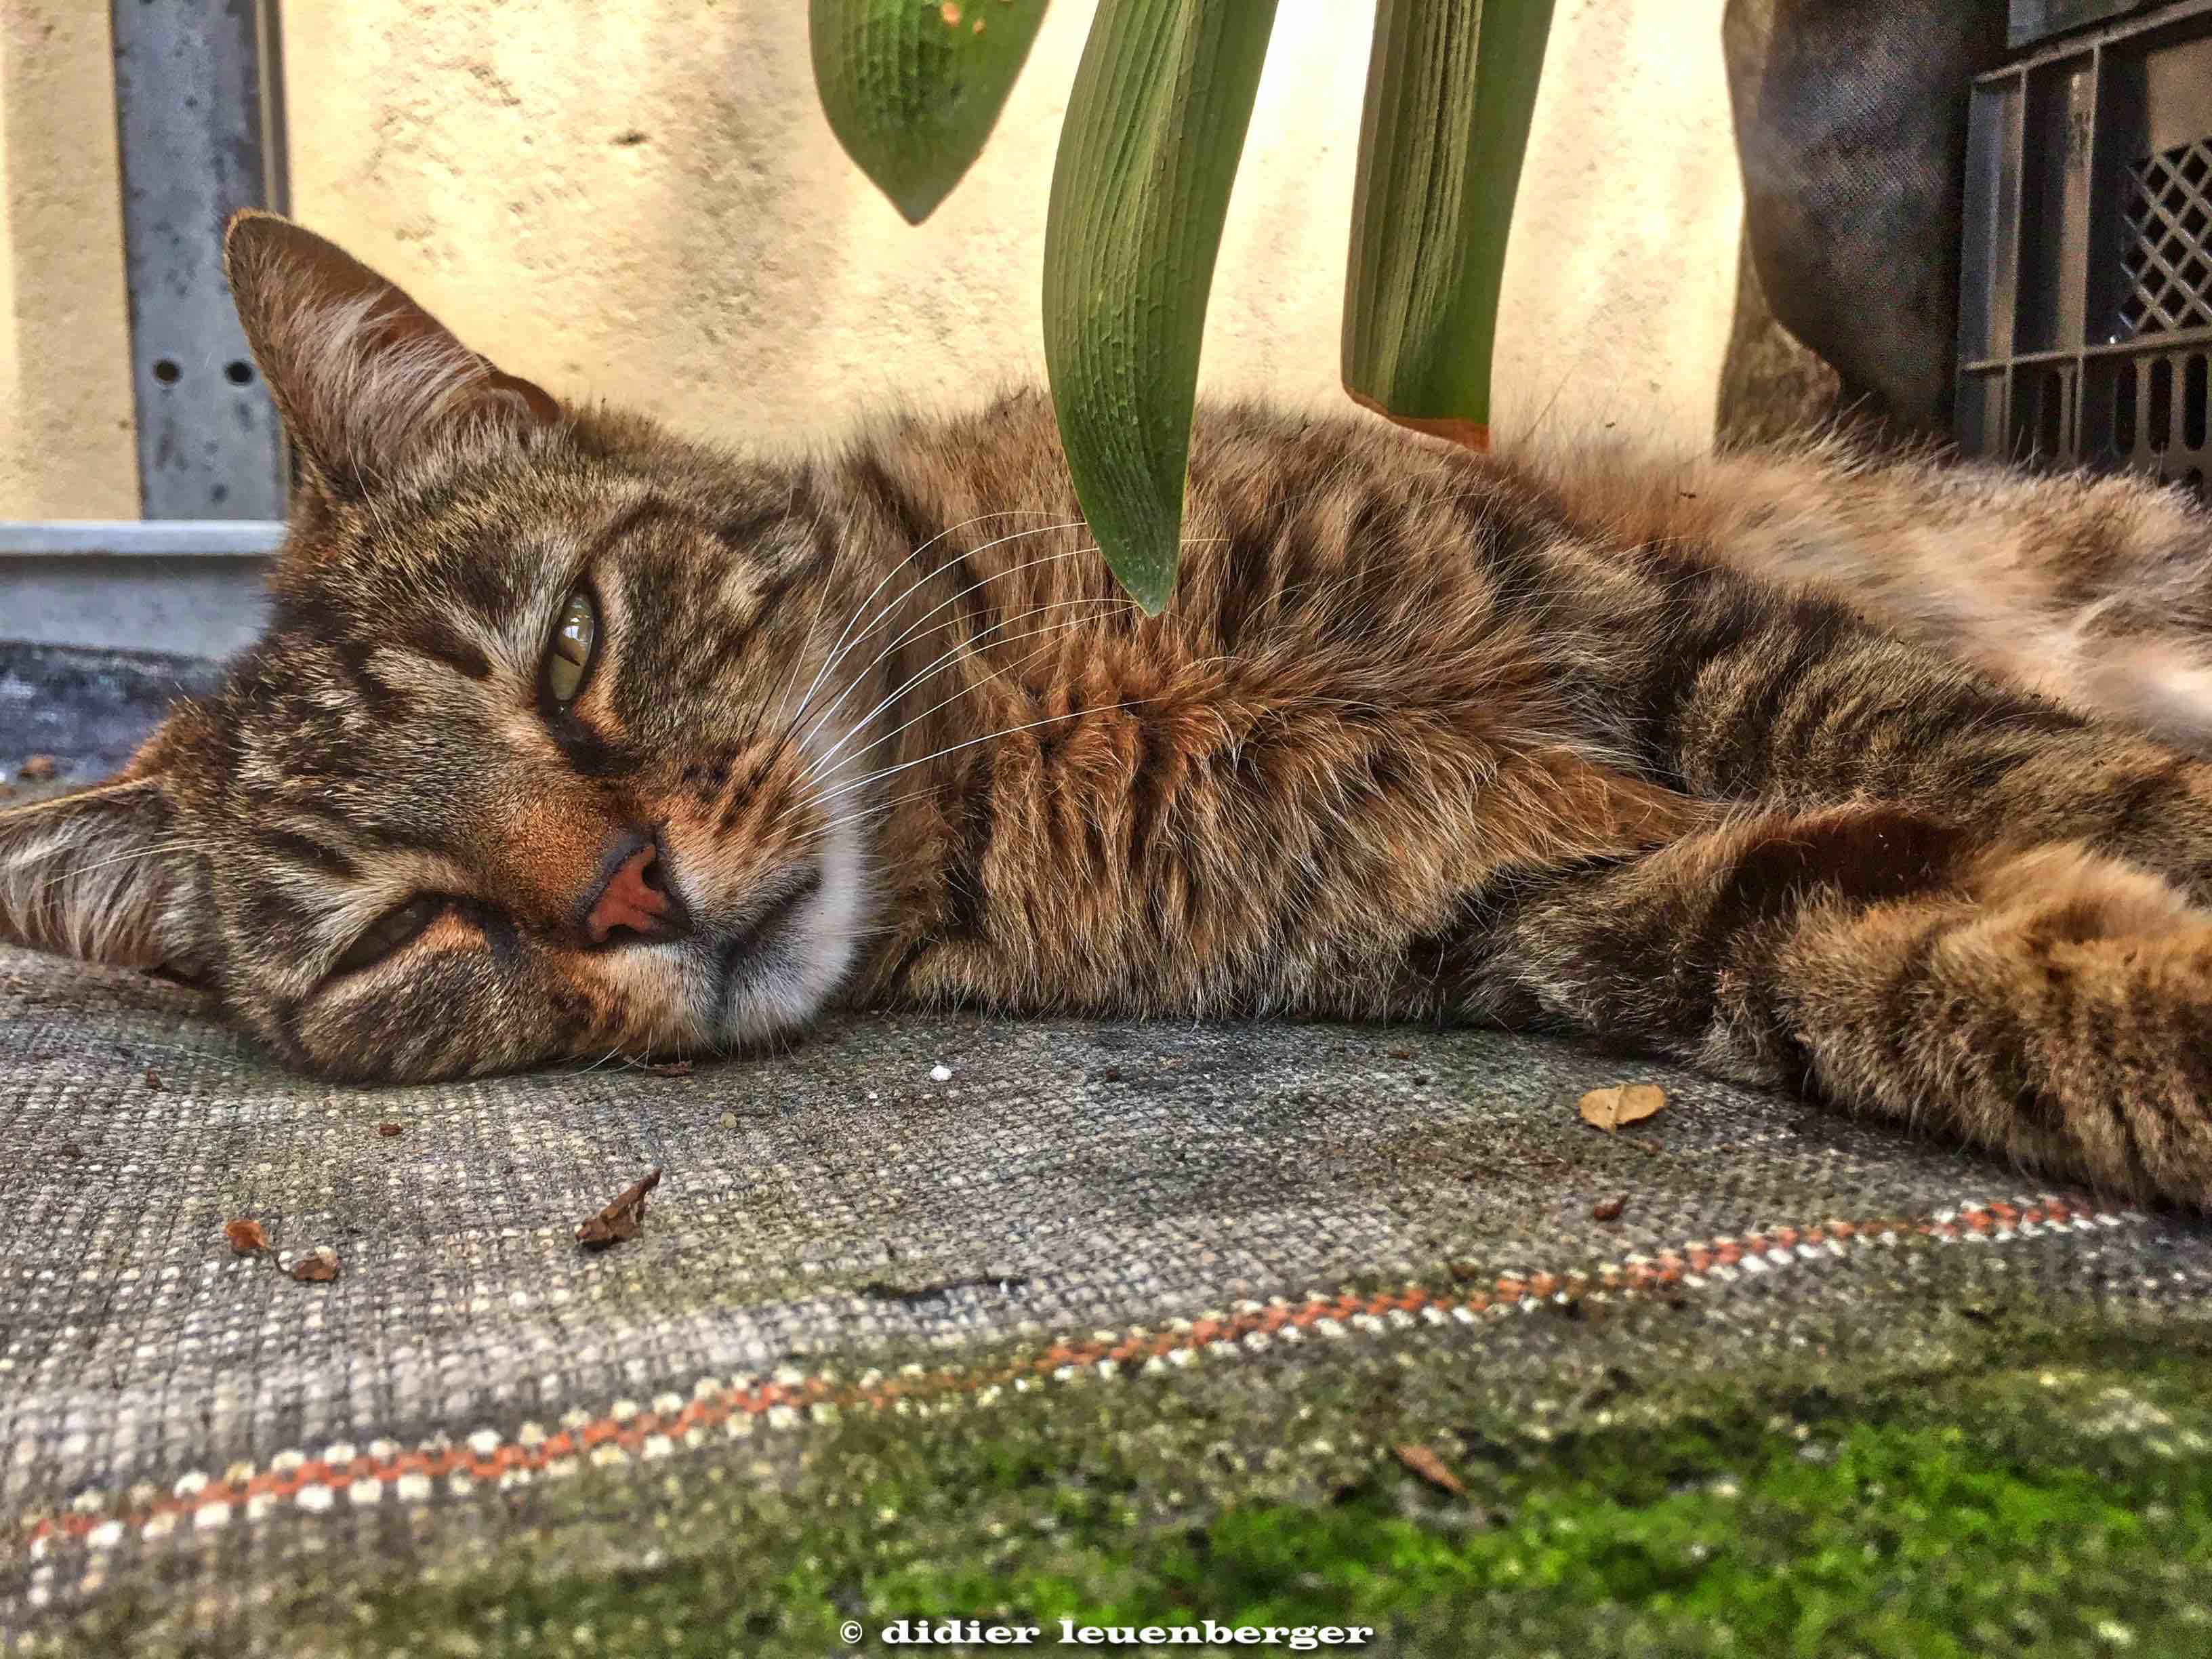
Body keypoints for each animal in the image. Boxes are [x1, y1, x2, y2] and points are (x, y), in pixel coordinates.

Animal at [4, 214, 2212, 1212]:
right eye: (405, 931)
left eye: (566, 649)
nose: (628, 889)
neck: (1022, 724)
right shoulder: (1558, 904)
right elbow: (1929, 959)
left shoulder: (1657, 633)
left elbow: (2030, 761)